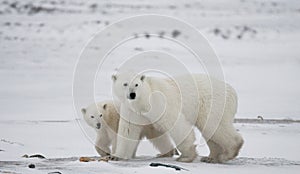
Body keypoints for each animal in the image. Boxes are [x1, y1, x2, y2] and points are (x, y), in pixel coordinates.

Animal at [112, 72, 244, 163]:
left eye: (136, 84)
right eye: (125, 84)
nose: (132, 94)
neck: (142, 102)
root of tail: (233, 91)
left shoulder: (159, 103)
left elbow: (176, 124)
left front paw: (186, 157)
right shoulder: (131, 111)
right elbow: (128, 130)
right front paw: (116, 156)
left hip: (212, 104)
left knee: (215, 126)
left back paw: (228, 152)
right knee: (210, 131)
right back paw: (210, 157)